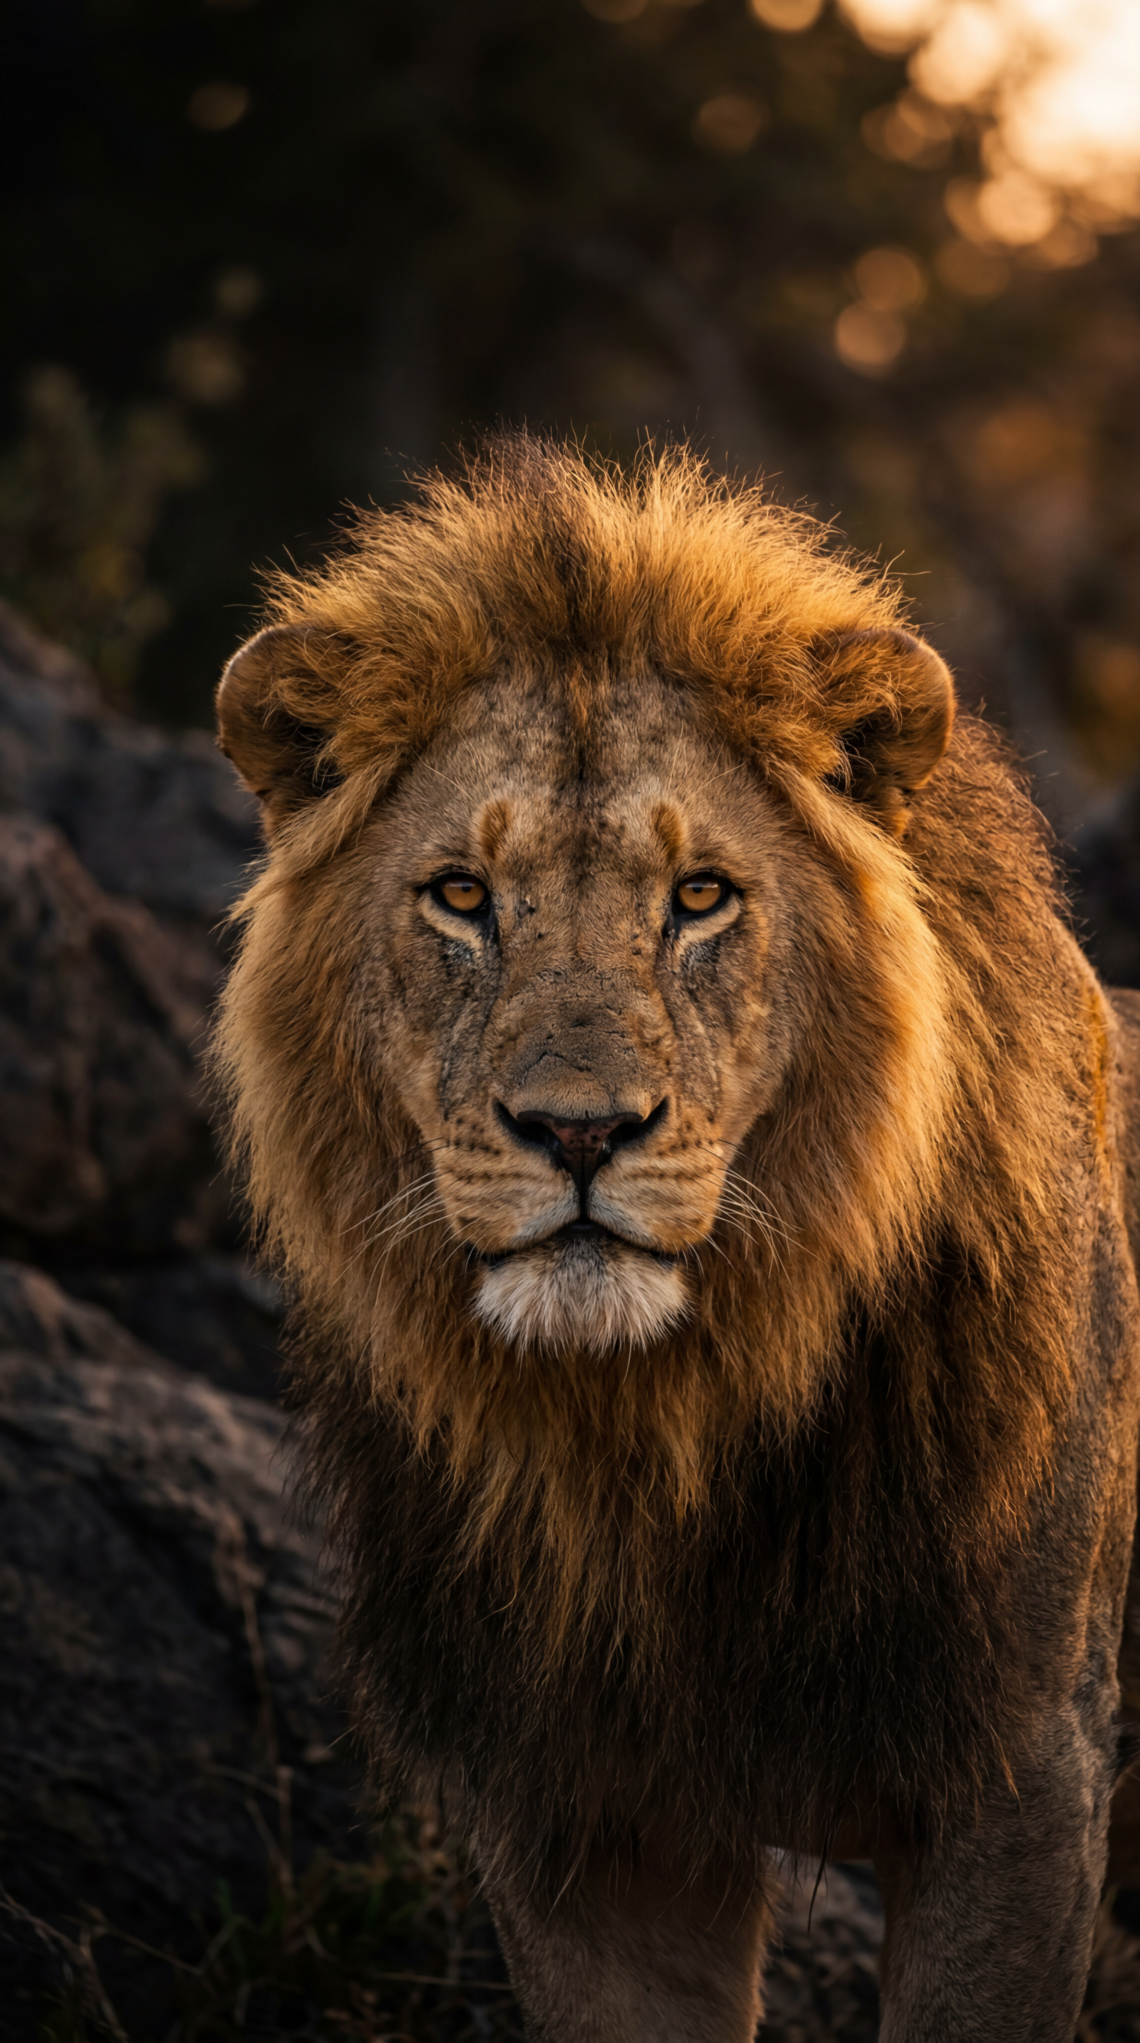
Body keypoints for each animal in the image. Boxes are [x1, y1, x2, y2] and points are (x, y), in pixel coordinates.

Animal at [213, 435, 1140, 2041]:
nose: (580, 1133)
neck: (654, 1434)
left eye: (700, 896)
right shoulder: (583, 1820)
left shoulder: (1026, 1775)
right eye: (462, 895)